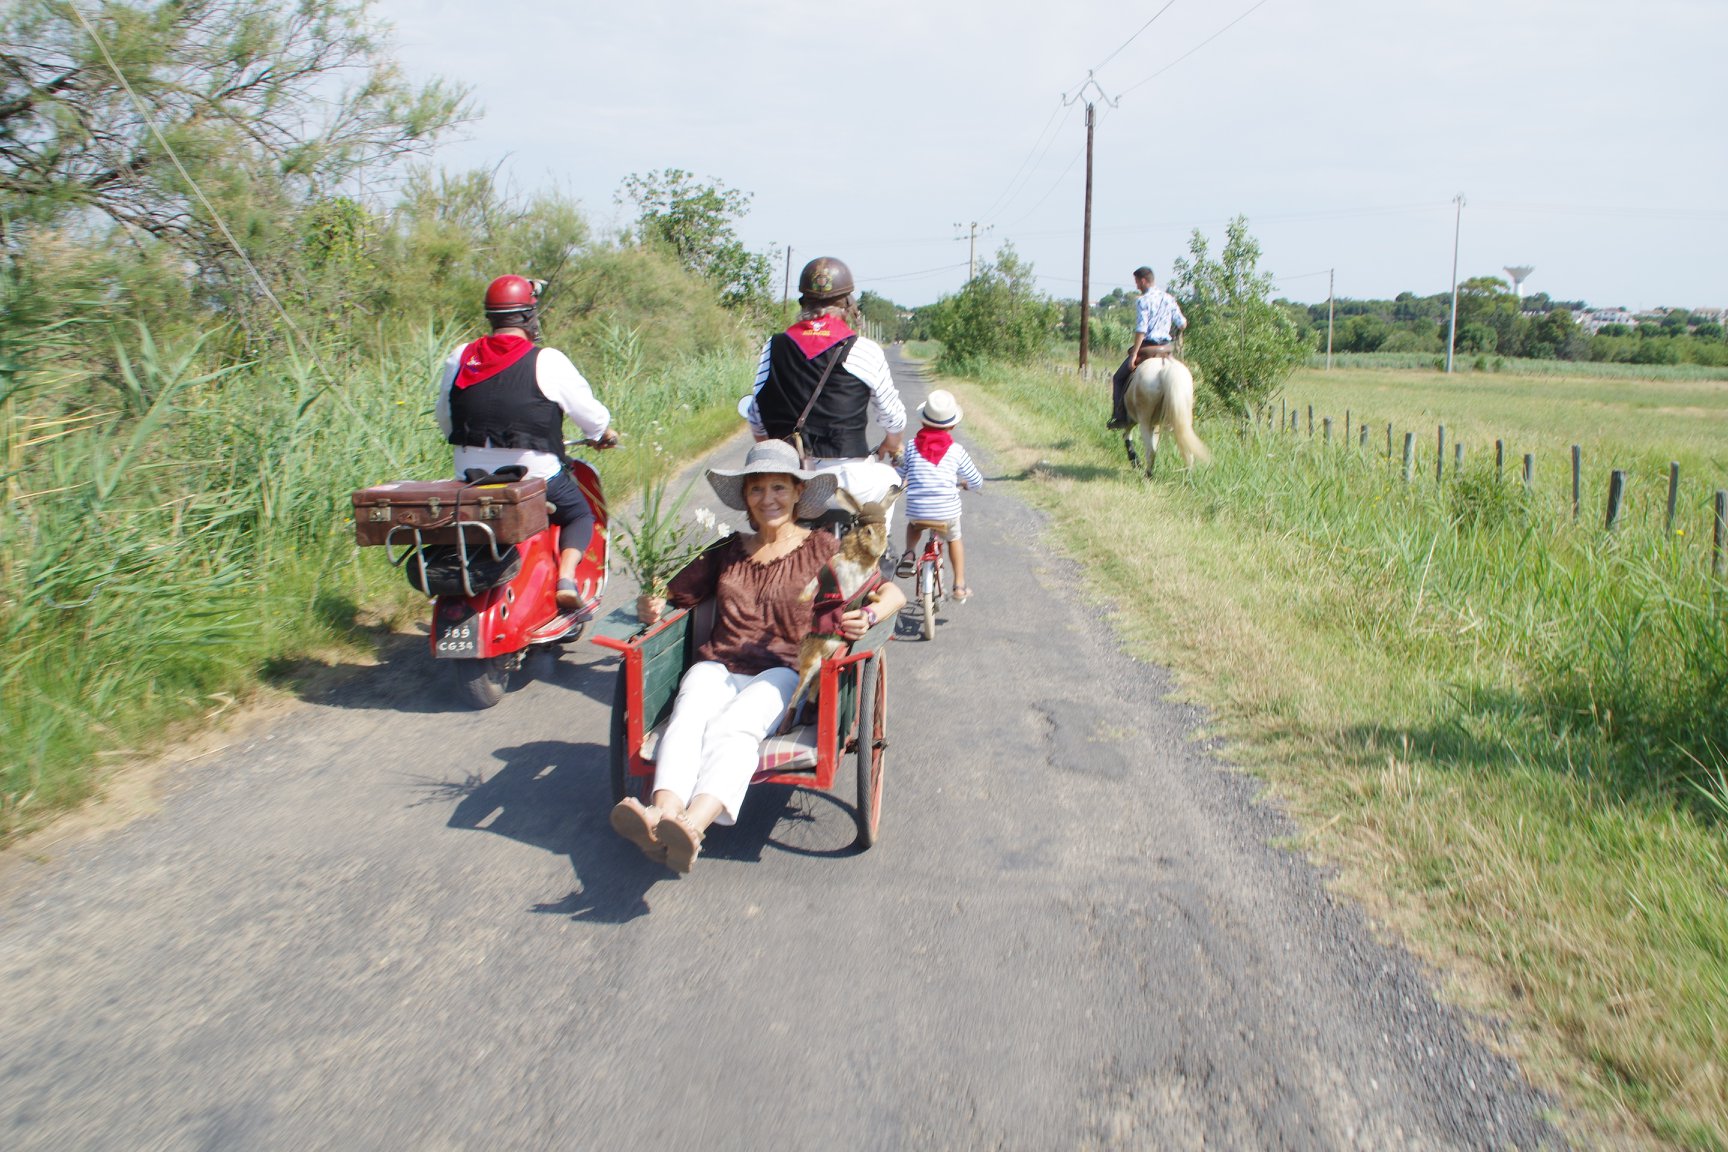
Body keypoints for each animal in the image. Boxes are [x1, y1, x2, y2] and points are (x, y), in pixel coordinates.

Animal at [777, 487, 898, 728]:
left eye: (884, 530)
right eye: (868, 530)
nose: (880, 551)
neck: (861, 562)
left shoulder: (872, 581)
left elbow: (873, 592)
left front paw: (874, 599)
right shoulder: (832, 565)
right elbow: (815, 582)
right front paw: (803, 598)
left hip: (828, 662)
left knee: (815, 687)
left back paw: (808, 715)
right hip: (811, 663)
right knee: (798, 692)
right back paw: (785, 725)